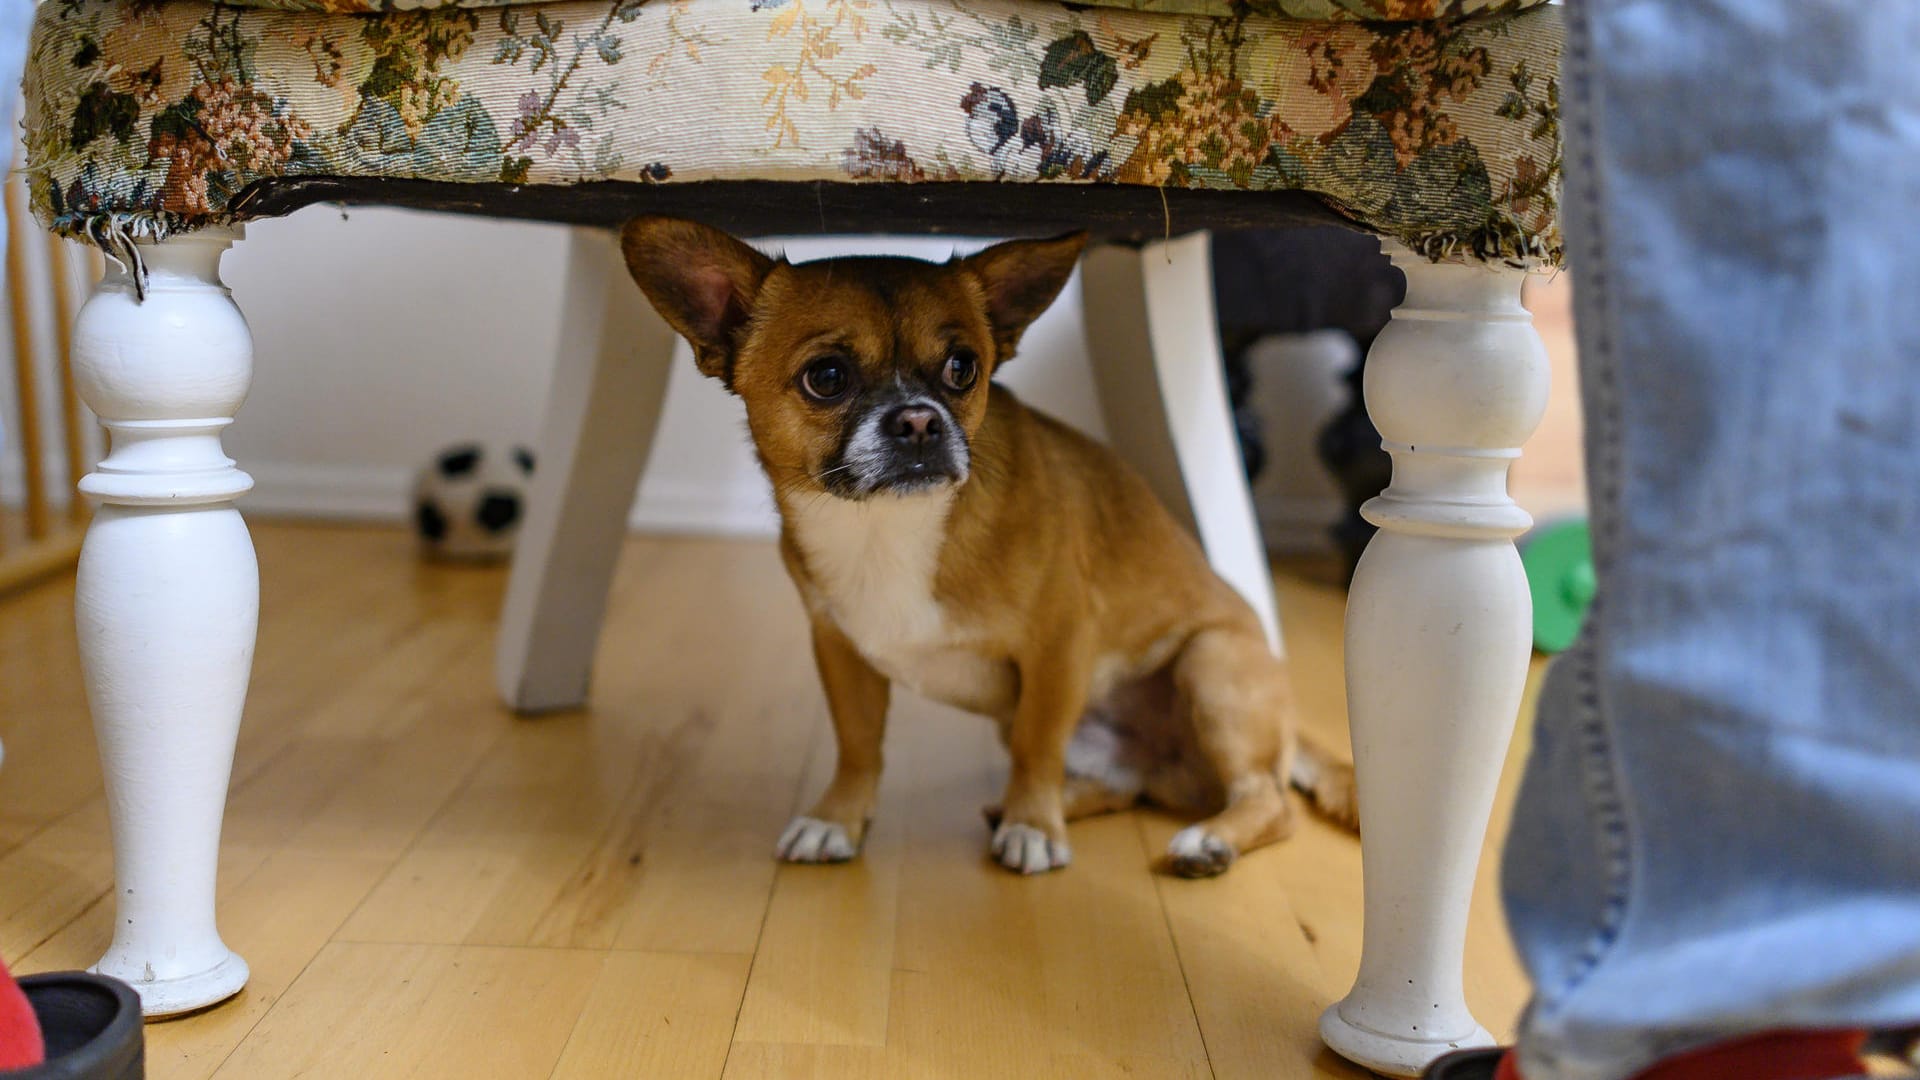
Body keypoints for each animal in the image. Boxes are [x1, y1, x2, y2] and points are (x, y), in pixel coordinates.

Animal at [618, 219, 1351, 876]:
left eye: (962, 368)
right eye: (825, 376)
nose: (919, 419)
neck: (887, 527)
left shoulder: (1058, 648)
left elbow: (1036, 743)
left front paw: (1034, 826)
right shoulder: (839, 650)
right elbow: (858, 745)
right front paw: (838, 819)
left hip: (1211, 664)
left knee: (1269, 801)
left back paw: (1203, 840)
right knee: (1128, 788)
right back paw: (1050, 806)